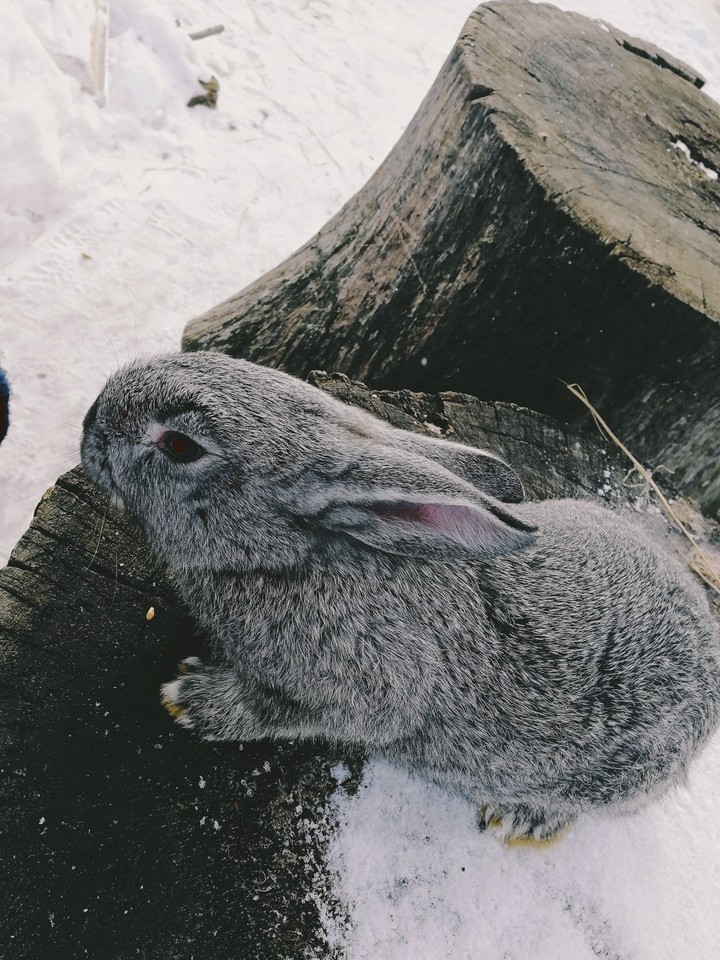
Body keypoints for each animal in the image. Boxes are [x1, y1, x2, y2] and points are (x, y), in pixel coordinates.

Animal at [81, 351, 720, 844]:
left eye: (180, 445)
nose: (90, 427)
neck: (294, 555)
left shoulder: (365, 692)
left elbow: (289, 712)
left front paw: (190, 699)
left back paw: (520, 820)